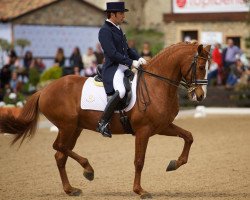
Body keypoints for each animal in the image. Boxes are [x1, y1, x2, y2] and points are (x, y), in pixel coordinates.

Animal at [0, 42, 211, 198]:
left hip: (74, 128)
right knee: (59, 147)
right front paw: (140, 191)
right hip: (67, 126)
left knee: (61, 154)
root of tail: (44, 90)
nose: (200, 96)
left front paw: (175, 163)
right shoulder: (143, 131)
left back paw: (71, 189)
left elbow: (188, 136)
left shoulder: (162, 126)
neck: (156, 85)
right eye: (201, 67)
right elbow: (139, 161)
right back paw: (88, 169)